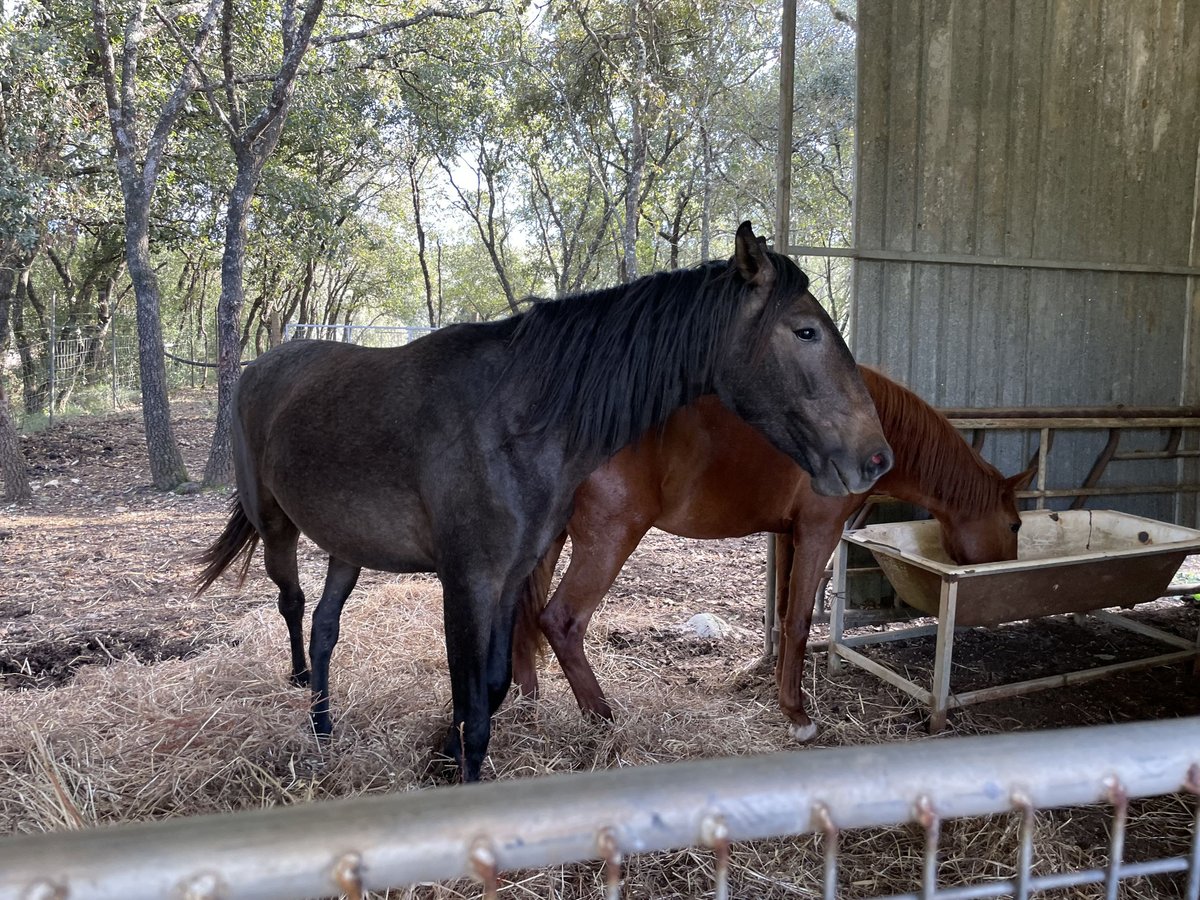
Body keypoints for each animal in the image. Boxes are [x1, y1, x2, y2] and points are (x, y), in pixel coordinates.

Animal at [511, 369, 1036, 744]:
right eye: (1014, 524)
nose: (1005, 573)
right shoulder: (819, 532)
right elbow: (801, 621)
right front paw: (798, 716)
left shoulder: (789, 534)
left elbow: (784, 615)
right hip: (609, 540)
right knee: (561, 621)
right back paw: (602, 720)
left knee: (522, 619)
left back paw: (526, 711)